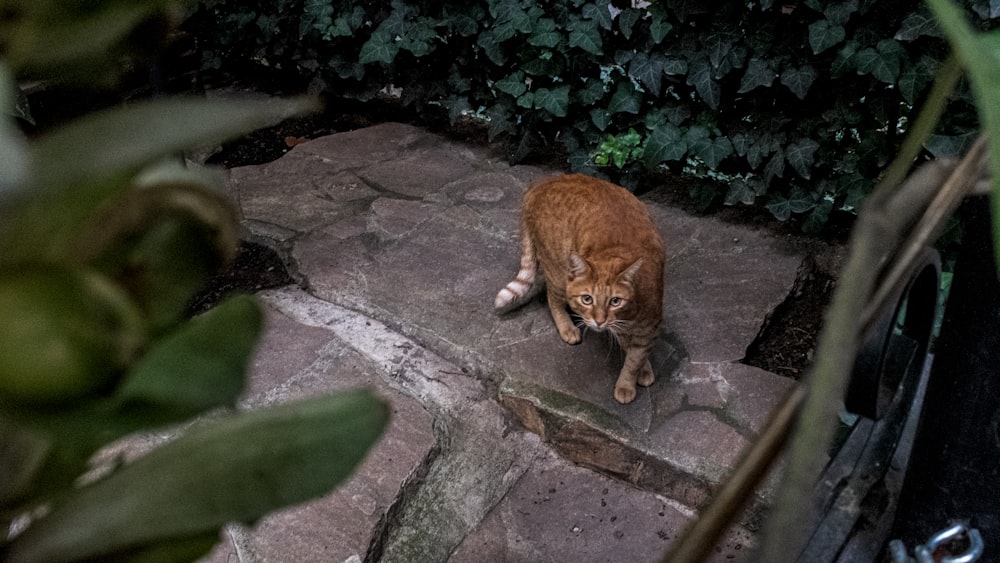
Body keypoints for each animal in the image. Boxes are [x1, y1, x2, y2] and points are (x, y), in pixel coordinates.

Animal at [494, 174, 664, 404]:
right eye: (587, 299)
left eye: (615, 301)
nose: (599, 321)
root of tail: (542, 183)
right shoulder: (622, 328)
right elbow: (632, 355)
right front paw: (628, 384)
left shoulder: (648, 328)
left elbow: (635, 356)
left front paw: (639, 372)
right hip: (559, 272)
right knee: (552, 298)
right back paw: (567, 328)